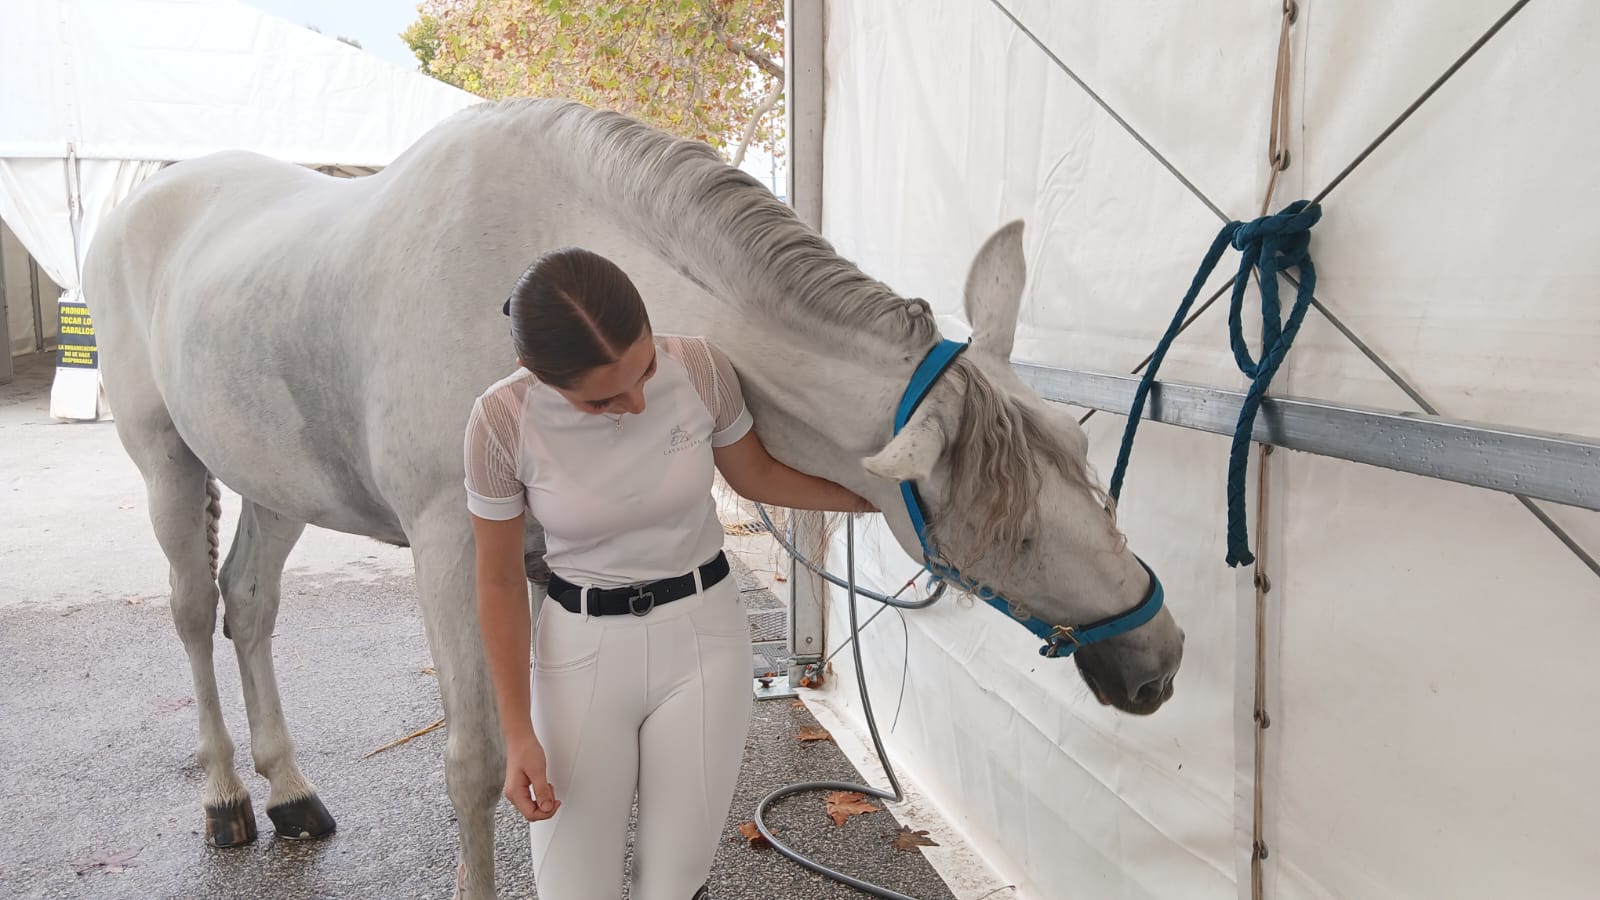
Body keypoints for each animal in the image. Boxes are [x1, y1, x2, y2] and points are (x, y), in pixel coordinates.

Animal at [82, 97, 1184, 897]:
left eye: (1083, 463)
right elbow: (479, 763)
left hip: (277, 484)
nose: (1159, 661)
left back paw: (292, 791)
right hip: (165, 462)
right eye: (1013, 529)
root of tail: (141, 202)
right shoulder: (452, 547)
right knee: (193, 611)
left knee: (250, 604)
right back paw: (228, 800)